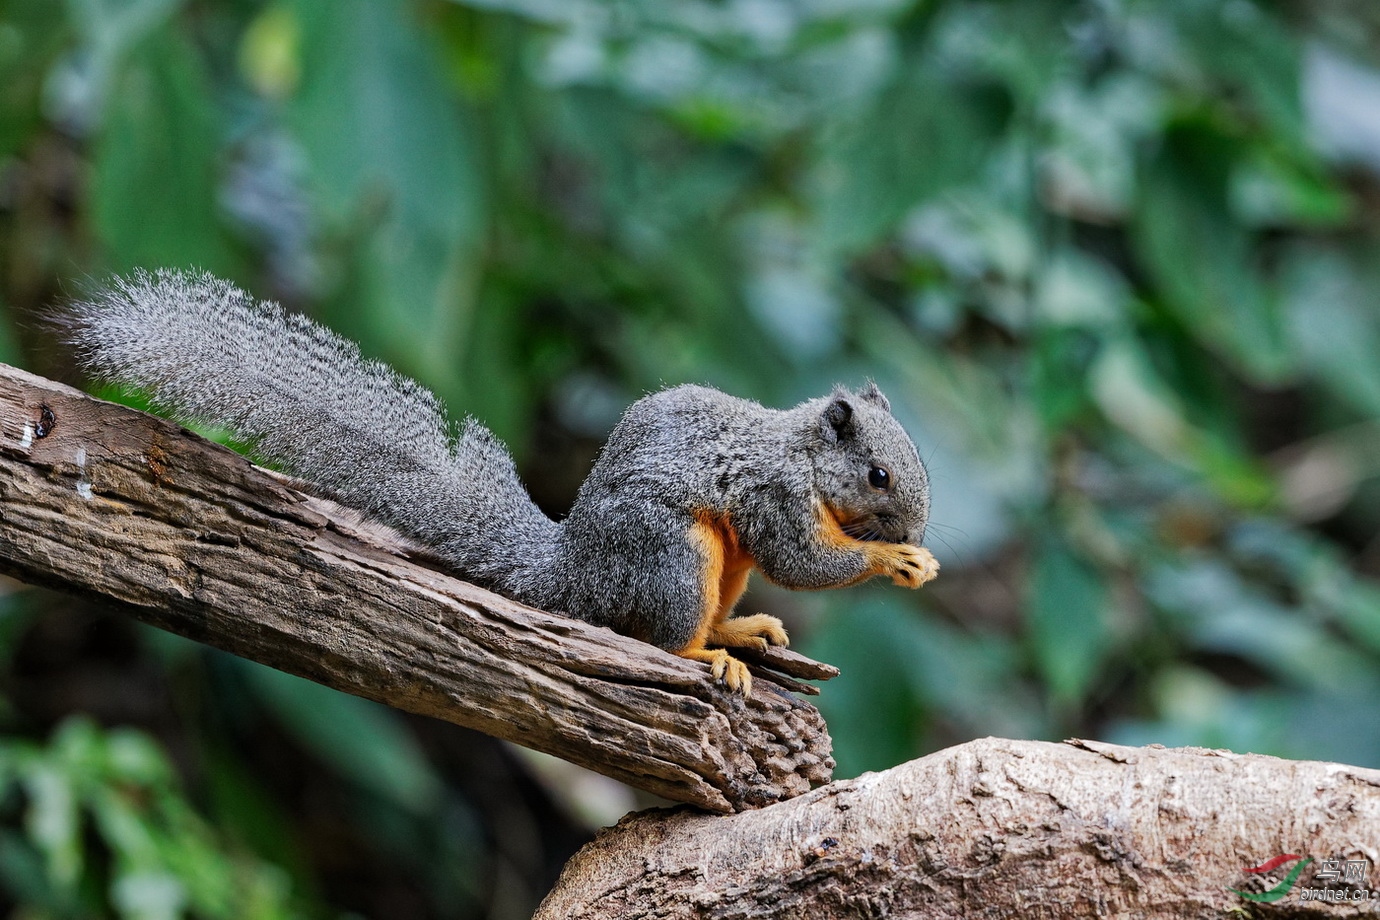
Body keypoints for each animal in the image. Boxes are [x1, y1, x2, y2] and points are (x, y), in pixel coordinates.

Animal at [70, 270, 943, 695]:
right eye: (879, 474)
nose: (913, 530)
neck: (803, 454)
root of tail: (576, 572)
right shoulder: (775, 495)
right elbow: (803, 561)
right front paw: (895, 561)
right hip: (675, 554)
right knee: (657, 636)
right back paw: (708, 657)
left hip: (720, 564)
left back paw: (739, 632)